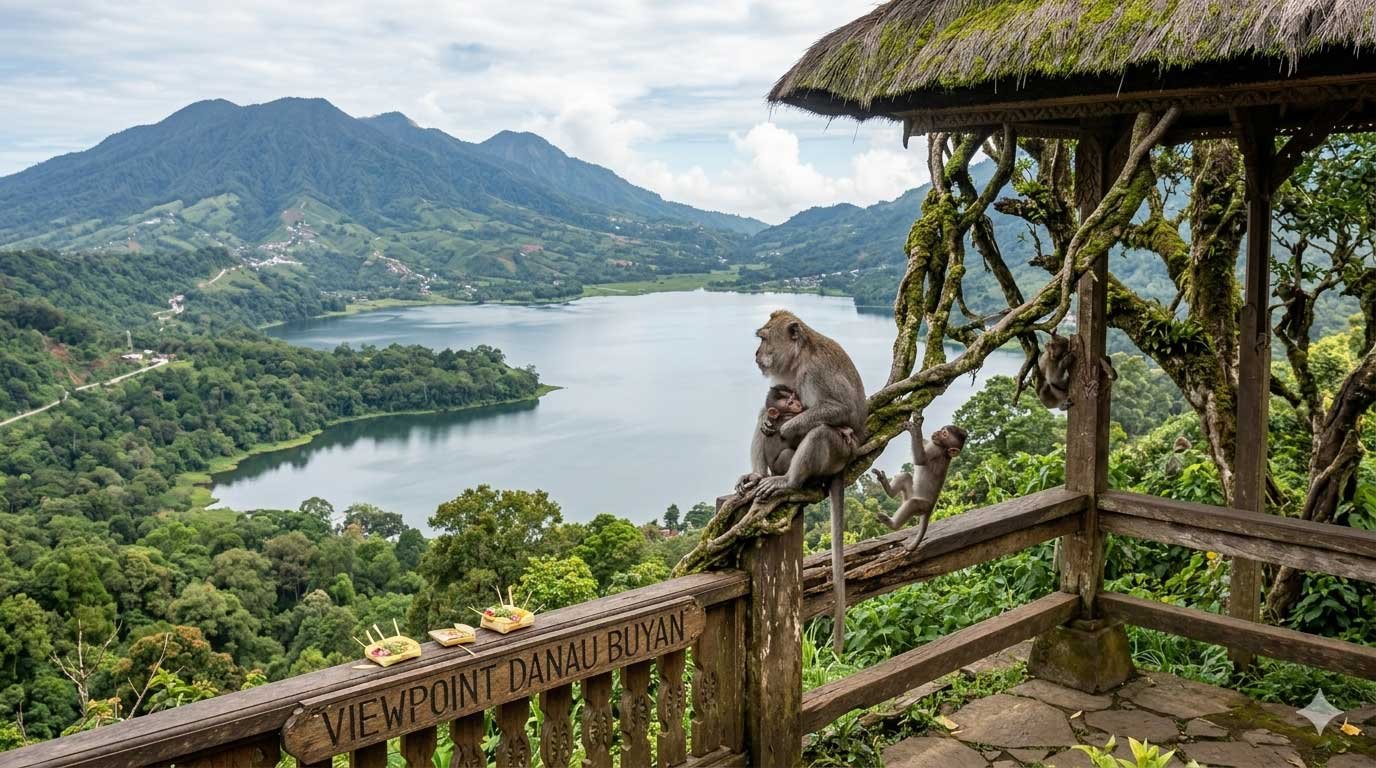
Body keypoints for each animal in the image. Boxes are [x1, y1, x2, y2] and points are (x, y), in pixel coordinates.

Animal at [749, 310, 866, 653]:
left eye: (763, 338)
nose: (756, 354)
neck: (799, 360)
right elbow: (767, 408)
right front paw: (769, 419)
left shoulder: (817, 373)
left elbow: (841, 408)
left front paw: (788, 427)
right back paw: (757, 476)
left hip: (837, 455)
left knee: (821, 432)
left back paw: (788, 481)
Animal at [870, 418, 967, 553]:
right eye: (942, 430)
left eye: (944, 433)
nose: (936, 432)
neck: (944, 450)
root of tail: (931, 509)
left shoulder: (936, 450)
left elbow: (920, 459)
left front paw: (915, 430)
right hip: (909, 495)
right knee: (906, 476)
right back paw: (888, 488)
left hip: (923, 506)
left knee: (913, 504)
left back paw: (892, 524)